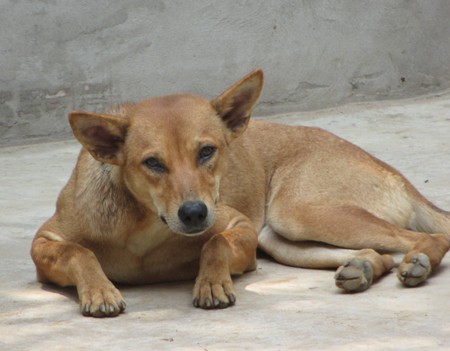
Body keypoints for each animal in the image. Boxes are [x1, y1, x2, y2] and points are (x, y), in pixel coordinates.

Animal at [29, 70, 448, 318]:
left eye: (207, 152)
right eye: (152, 163)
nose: (195, 213)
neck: (144, 224)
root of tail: (394, 173)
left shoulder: (239, 227)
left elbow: (214, 244)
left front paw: (211, 282)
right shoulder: (44, 242)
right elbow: (79, 251)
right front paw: (100, 291)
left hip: (297, 213)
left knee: (427, 236)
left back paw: (419, 261)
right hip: (283, 238)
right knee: (380, 254)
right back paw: (363, 267)